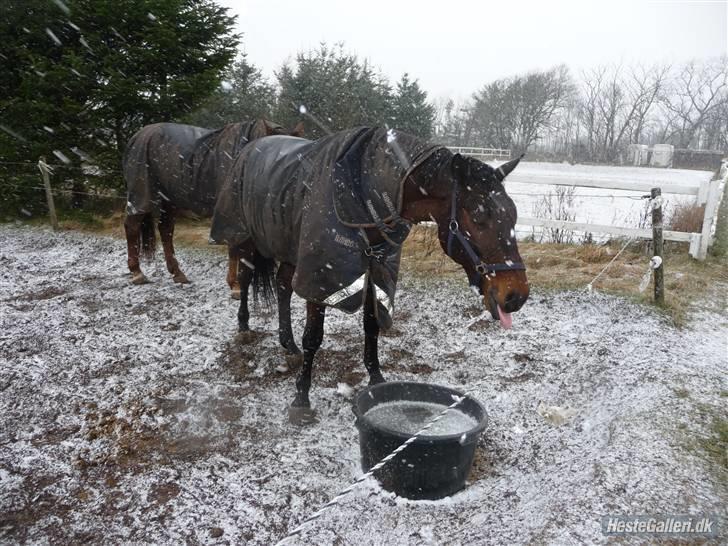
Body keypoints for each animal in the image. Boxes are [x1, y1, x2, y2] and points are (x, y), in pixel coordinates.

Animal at [121, 119, 302, 288]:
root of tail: (137, 136)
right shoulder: (231, 214)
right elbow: (234, 248)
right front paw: (235, 285)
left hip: (169, 199)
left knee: (166, 230)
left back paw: (177, 273)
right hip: (142, 194)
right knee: (132, 226)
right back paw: (137, 273)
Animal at [208, 127, 528, 420]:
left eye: (513, 214)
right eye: (479, 216)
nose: (516, 295)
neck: (364, 194)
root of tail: (251, 147)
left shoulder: (377, 269)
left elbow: (372, 325)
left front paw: (376, 380)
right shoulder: (322, 276)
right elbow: (314, 336)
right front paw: (301, 398)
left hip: (287, 247)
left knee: (283, 286)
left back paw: (288, 343)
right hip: (246, 238)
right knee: (246, 279)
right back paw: (244, 327)